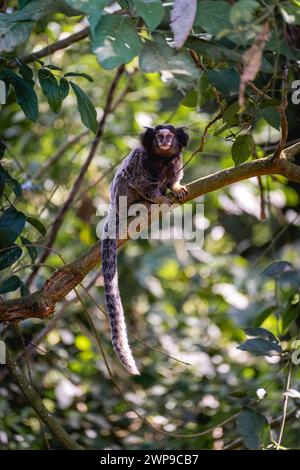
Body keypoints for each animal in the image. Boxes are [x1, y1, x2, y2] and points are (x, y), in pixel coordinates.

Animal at [102, 124, 189, 374]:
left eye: (169, 136)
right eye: (159, 136)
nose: (163, 141)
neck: (162, 159)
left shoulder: (177, 161)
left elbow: (174, 178)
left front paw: (175, 188)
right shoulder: (141, 161)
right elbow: (137, 181)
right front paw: (158, 199)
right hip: (121, 197)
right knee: (126, 181)